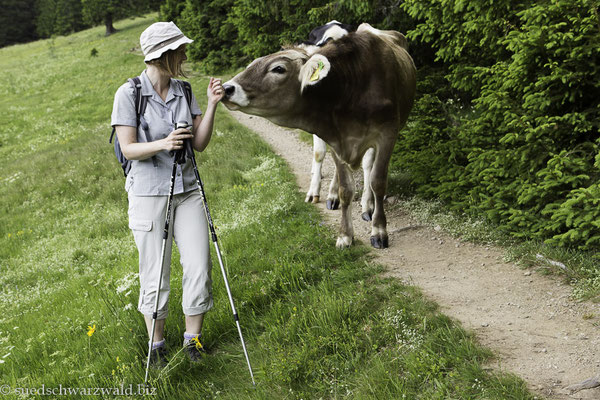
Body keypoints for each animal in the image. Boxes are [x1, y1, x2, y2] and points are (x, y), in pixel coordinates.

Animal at [223, 23, 414, 248]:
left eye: (278, 68)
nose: (226, 88)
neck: (351, 90)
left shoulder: (387, 134)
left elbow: (378, 182)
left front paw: (379, 231)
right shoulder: (335, 138)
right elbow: (345, 188)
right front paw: (345, 235)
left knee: (368, 167)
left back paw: (367, 206)